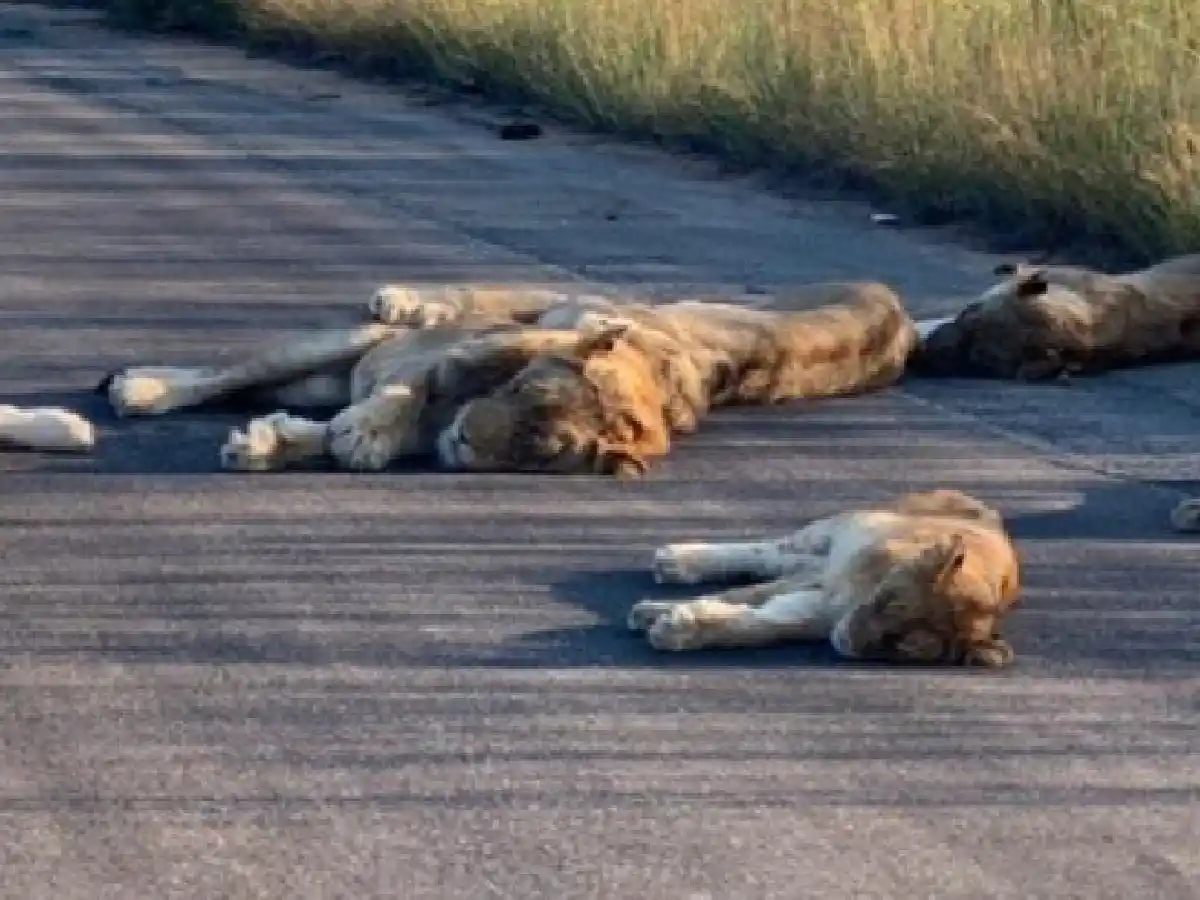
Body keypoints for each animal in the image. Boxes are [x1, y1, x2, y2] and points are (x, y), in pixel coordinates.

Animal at [627, 489, 1023, 666]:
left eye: (902, 647)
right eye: (891, 604)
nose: (850, 640)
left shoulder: (821, 607)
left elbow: (761, 624)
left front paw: (675, 626)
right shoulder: (829, 587)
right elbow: (745, 596)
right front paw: (655, 614)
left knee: (785, 560)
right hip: (833, 531)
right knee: (770, 551)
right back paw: (675, 561)